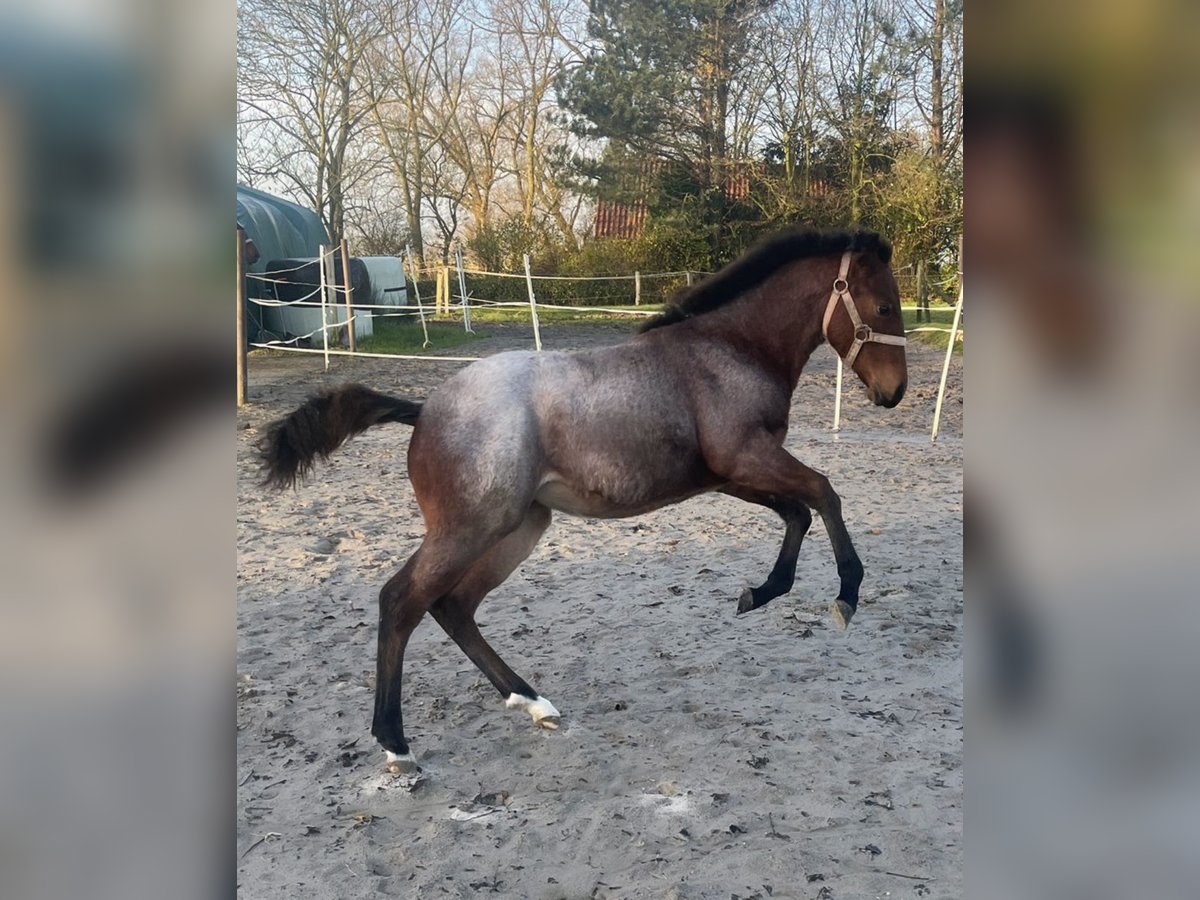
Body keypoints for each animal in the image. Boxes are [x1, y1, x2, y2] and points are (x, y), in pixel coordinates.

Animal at [258, 229, 902, 772]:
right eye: (884, 308)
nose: (894, 393)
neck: (729, 349)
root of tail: (425, 410)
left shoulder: (731, 473)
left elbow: (799, 510)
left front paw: (761, 592)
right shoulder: (748, 458)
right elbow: (824, 493)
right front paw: (846, 595)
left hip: (519, 528)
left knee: (455, 607)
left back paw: (531, 701)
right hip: (470, 528)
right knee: (401, 602)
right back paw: (396, 746)